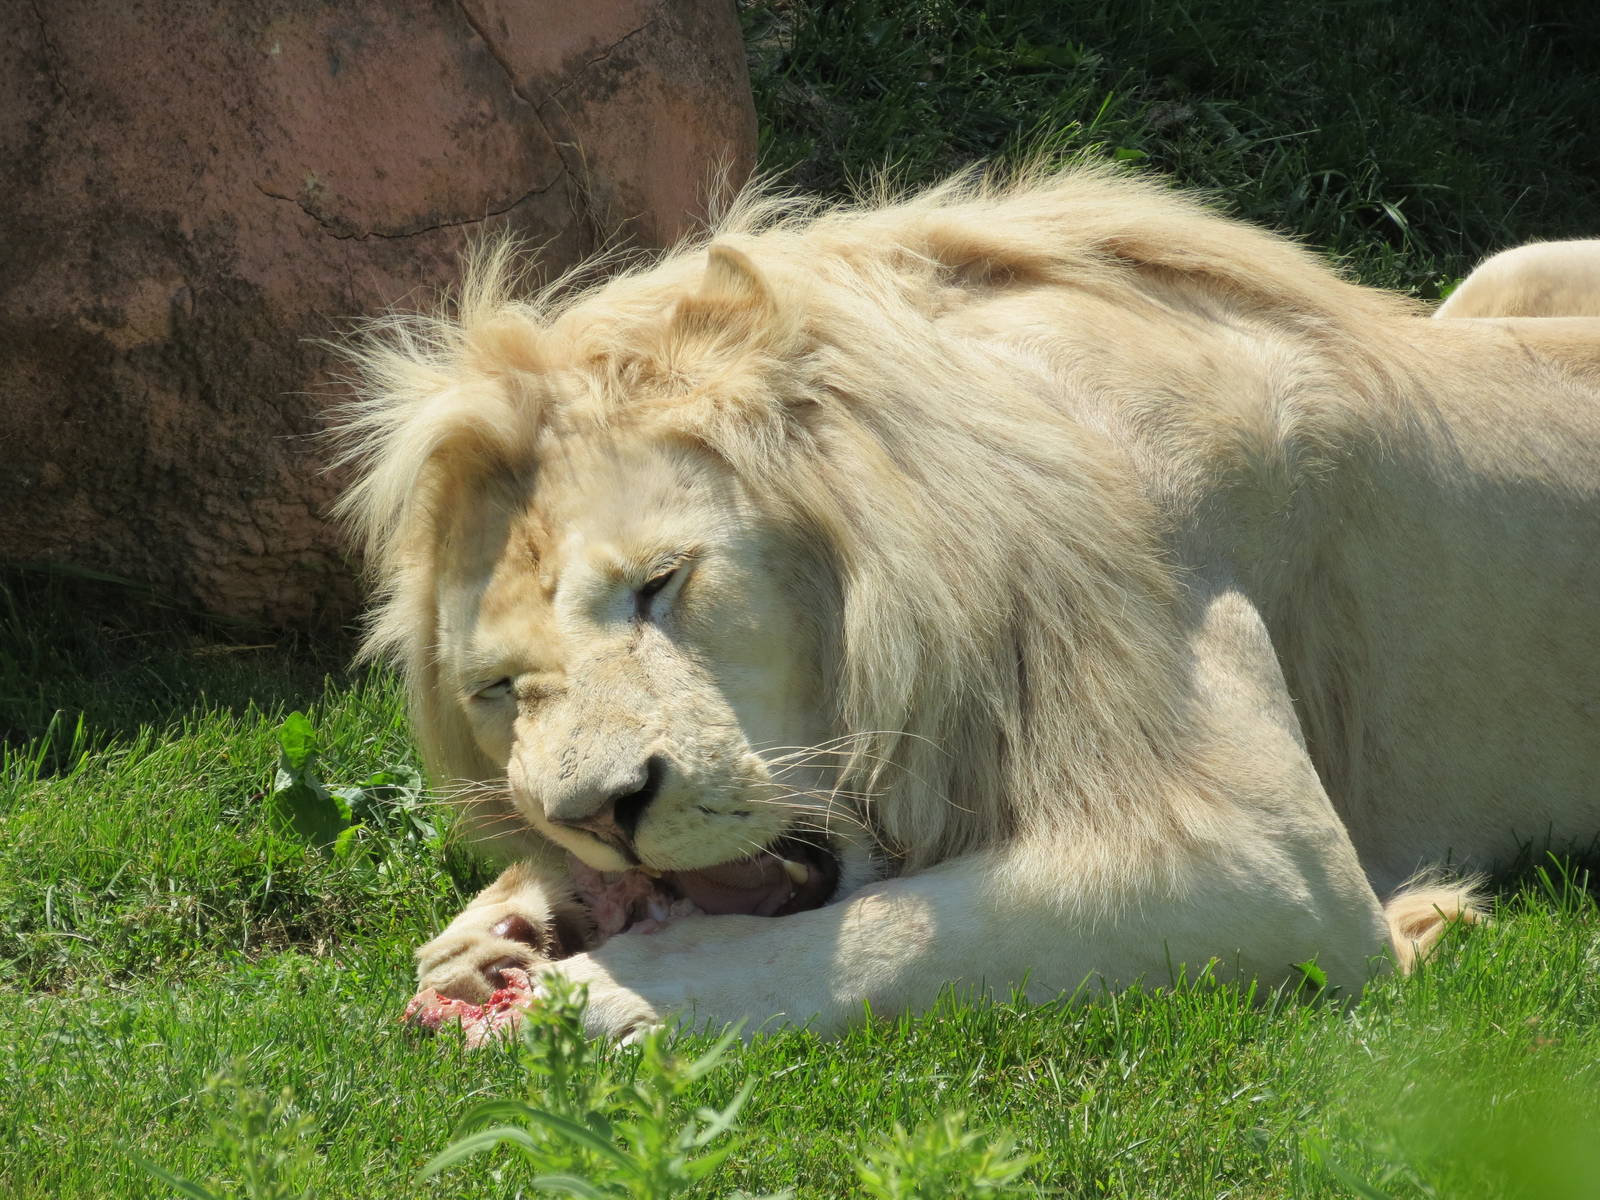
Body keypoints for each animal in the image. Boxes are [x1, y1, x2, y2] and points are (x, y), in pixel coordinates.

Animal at [335, 166, 1600, 1040]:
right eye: (500, 690)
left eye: (659, 585)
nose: (599, 813)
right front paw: (504, 924)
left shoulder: (1268, 860)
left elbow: (873, 939)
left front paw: (595, 994)